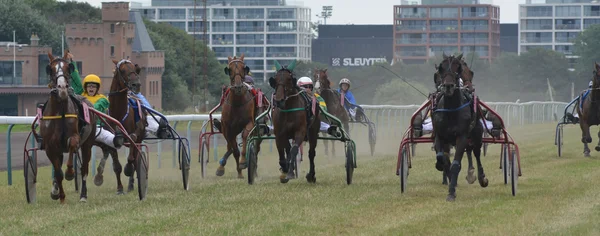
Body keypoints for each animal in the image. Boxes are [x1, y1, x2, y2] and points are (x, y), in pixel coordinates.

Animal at [39, 51, 97, 203]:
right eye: (50, 69)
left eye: (68, 68)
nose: (62, 89)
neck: (60, 113)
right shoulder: (50, 146)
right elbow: (58, 172)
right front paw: (60, 196)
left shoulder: (75, 137)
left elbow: (71, 144)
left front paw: (70, 172)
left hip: (87, 143)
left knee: (84, 168)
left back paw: (83, 195)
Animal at [107, 58, 146, 192]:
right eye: (123, 70)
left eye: (135, 69)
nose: (136, 85)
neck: (119, 113)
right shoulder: (111, 139)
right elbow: (116, 166)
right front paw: (119, 188)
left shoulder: (133, 135)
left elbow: (131, 160)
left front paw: (128, 169)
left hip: (140, 136)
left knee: (135, 158)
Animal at [432, 53, 488, 201]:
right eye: (440, 68)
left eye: (458, 68)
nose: (448, 86)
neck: (451, 110)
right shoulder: (439, 135)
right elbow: (442, 158)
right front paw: (442, 167)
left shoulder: (462, 136)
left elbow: (456, 165)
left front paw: (451, 192)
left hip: (476, 133)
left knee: (476, 152)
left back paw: (481, 177)